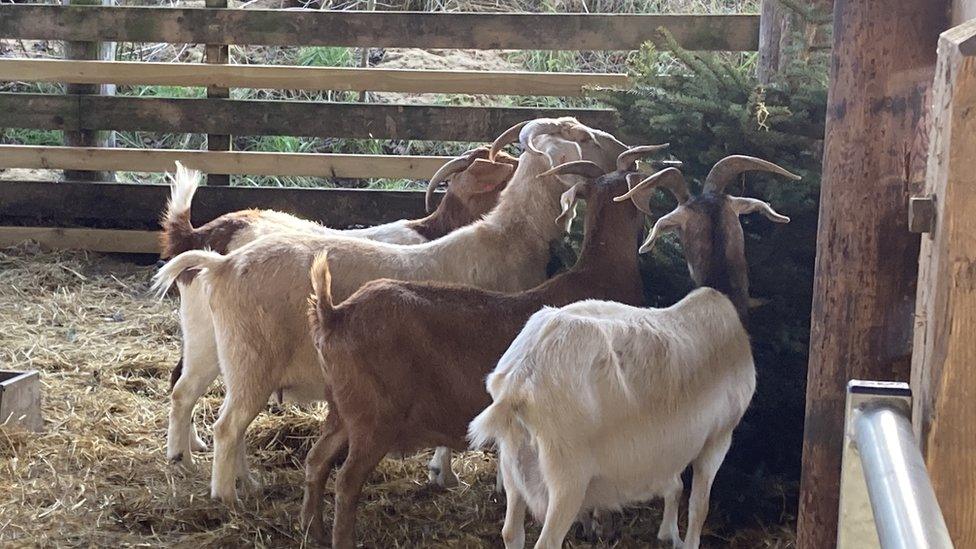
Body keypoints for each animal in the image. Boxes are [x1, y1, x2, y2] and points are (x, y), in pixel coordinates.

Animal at [149, 117, 628, 504]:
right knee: (225, 423)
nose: (622, 151)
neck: (505, 239)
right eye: (584, 137)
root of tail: (221, 261)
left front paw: (442, 473)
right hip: (249, 357)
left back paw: (217, 471)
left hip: (220, 350)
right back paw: (224, 495)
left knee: (195, 397)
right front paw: (452, 474)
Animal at [302, 147, 676, 548]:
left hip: (342, 409)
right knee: (346, 482)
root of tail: (335, 313)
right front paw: (598, 524)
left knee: (316, 460)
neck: (599, 274)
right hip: (374, 418)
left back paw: (313, 530)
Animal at [468, 155, 800, 548]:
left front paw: (667, 533)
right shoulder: (717, 436)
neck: (722, 300)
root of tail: (519, 384)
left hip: (513, 468)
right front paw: (685, 538)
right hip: (566, 479)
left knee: (511, 532)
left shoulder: (672, 442)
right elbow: (699, 507)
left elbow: (673, 486)